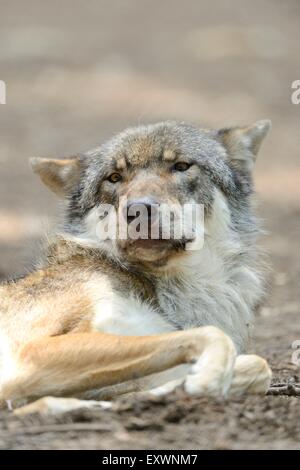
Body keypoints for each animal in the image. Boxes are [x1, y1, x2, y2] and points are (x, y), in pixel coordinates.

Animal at [0, 120, 272, 414]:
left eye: (181, 166)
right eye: (114, 177)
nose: (138, 210)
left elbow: (257, 365)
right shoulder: (31, 353)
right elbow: (214, 335)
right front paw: (205, 379)